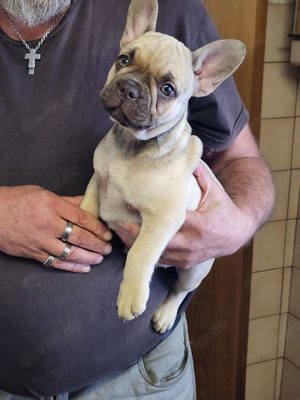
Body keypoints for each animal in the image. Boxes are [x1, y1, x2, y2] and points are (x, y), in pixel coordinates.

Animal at [81, 0, 245, 332]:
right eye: (123, 60)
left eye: (168, 89)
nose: (129, 87)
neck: (131, 146)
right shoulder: (98, 179)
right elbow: (89, 206)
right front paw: (84, 226)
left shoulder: (163, 216)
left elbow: (141, 253)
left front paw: (130, 296)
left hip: (194, 269)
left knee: (179, 290)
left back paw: (166, 313)